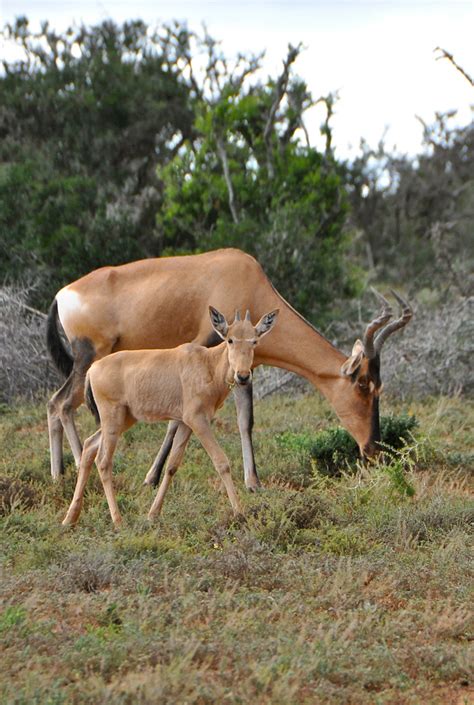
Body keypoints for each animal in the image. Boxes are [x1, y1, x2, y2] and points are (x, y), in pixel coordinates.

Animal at [46, 246, 412, 484]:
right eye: (364, 384)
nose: (373, 449)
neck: (247, 282)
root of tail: (62, 294)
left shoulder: (244, 369)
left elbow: (245, 421)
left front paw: (254, 483)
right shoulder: (202, 352)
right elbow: (177, 420)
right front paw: (152, 478)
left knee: (58, 404)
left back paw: (60, 475)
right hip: (89, 357)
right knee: (59, 403)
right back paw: (73, 470)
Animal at [62, 306, 278, 524]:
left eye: (254, 340)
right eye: (230, 339)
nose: (242, 376)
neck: (207, 363)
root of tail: (92, 370)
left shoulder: (184, 423)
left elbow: (172, 466)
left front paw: (153, 514)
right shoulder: (197, 420)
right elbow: (221, 462)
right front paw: (240, 513)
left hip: (125, 418)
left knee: (89, 445)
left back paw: (70, 518)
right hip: (112, 417)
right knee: (103, 461)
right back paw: (117, 520)